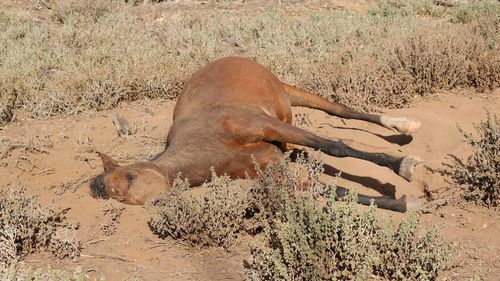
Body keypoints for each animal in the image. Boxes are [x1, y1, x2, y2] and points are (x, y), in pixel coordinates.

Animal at [96, 55, 422, 211]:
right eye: (118, 198)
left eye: (130, 176)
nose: (156, 202)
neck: (207, 145)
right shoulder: (270, 172)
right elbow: (335, 191)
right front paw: (402, 203)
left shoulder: (264, 125)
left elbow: (335, 147)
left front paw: (401, 166)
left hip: (289, 95)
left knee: (341, 110)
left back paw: (403, 127)